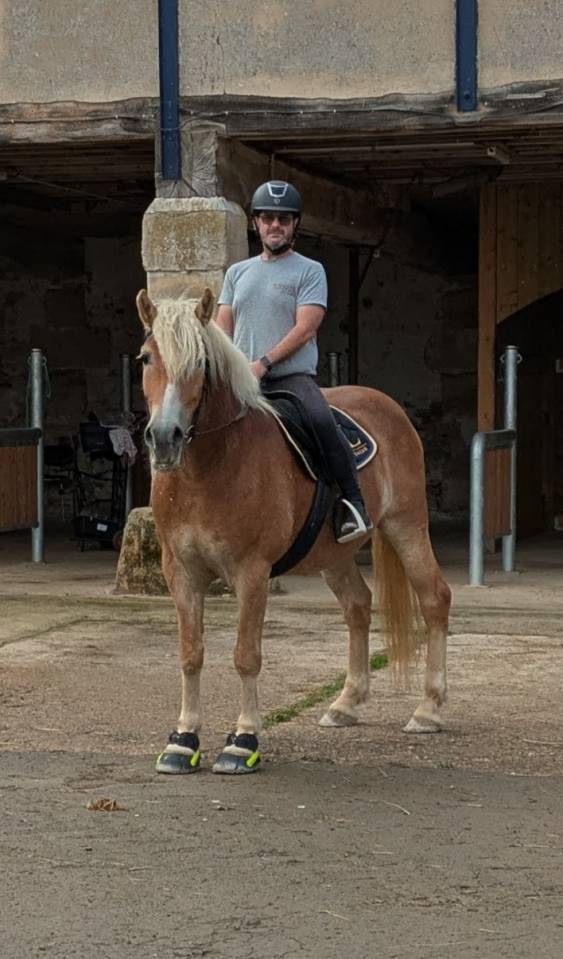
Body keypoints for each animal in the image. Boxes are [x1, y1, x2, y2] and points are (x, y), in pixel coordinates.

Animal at [136, 287, 451, 775]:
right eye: (147, 358)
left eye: (201, 363)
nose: (165, 438)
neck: (210, 467)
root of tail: (386, 404)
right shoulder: (180, 571)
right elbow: (190, 653)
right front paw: (183, 740)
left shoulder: (252, 572)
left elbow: (246, 656)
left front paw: (243, 741)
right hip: (335, 555)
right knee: (358, 606)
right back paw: (345, 704)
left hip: (407, 525)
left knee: (434, 599)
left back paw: (428, 709)